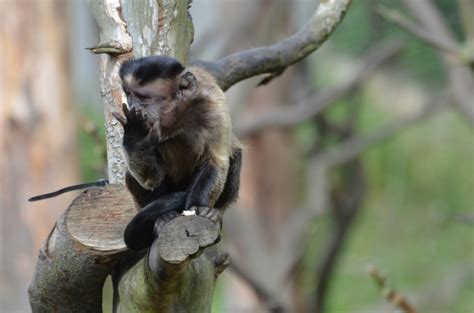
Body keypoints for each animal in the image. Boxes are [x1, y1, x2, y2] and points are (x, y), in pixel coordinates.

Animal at [113, 54, 243, 250]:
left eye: (143, 98)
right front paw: (135, 135)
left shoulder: (214, 104)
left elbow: (216, 162)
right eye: (129, 95)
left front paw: (198, 209)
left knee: (235, 156)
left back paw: (216, 213)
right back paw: (162, 217)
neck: (177, 119)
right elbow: (151, 178)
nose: (134, 106)